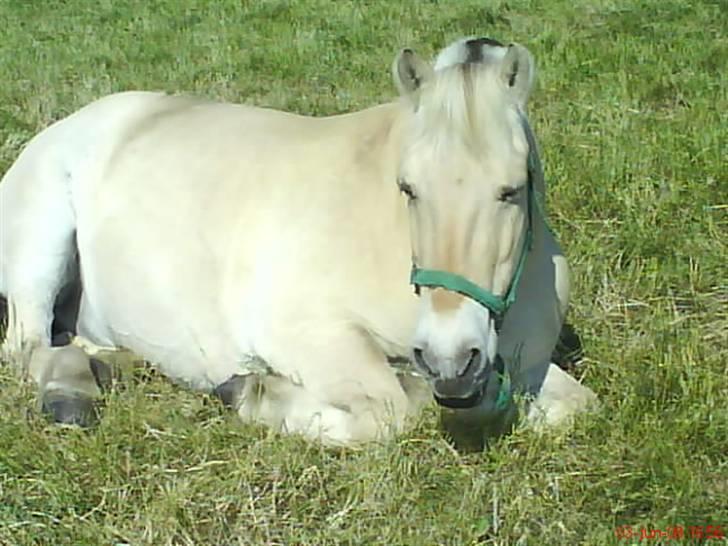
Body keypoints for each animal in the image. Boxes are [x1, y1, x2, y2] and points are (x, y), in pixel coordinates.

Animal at [0, 37, 597, 447]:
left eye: (513, 188)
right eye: (407, 187)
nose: (450, 360)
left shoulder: (519, 368)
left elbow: (573, 405)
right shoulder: (309, 334)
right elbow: (391, 411)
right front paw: (249, 392)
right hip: (39, 245)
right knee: (27, 345)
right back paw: (69, 396)